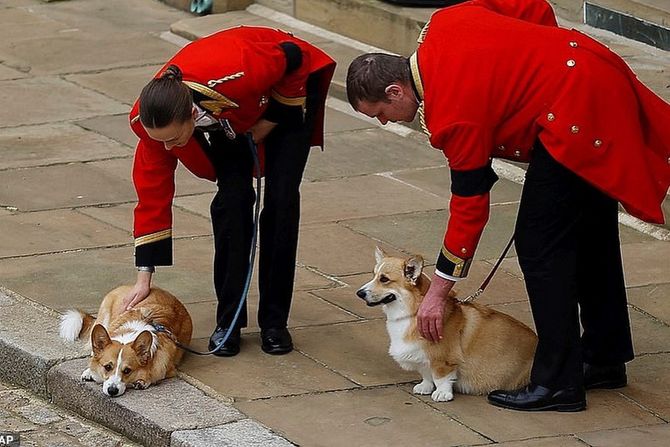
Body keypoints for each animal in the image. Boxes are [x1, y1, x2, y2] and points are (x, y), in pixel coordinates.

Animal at [59, 286, 193, 398]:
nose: (112, 391)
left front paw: (143, 381)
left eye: (127, 370)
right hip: (104, 318)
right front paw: (90, 371)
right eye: (107, 367)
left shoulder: (168, 369)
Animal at [356, 248, 540, 402]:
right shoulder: (422, 357)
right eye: (374, 275)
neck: (413, 313)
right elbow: (426, 374)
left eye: (384, 279)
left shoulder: (443, 359)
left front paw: (442, 394)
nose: (359, 293)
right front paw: (425, 386)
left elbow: (441, 377)